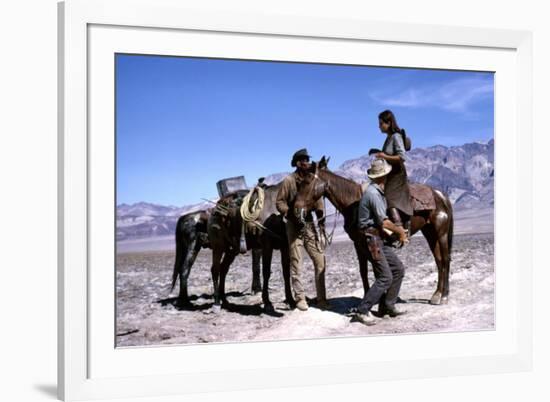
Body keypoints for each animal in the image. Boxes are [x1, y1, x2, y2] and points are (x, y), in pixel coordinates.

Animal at [208, 184, 294, 312]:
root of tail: (215, 209)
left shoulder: (285, 247)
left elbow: (286, 273)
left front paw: (291, 301)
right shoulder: (267, 245)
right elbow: (266, 272)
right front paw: (267, 302)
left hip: (232, 250)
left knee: (223, 269)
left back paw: (225, 301)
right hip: (218, 246)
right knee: (215, 270)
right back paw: (217, 302)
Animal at [296, 157, 454, 304]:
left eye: (307, 181)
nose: (297, 209)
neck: (354, 203)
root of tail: (439, 194)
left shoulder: (367, 243)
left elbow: (375, 270)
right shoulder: (358, 243)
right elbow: (363, 271)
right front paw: (370, 296)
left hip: (441, 233)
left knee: (446, 259)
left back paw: (445, 296)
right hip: (430, 233)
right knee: (439, 260)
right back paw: (436, 295)